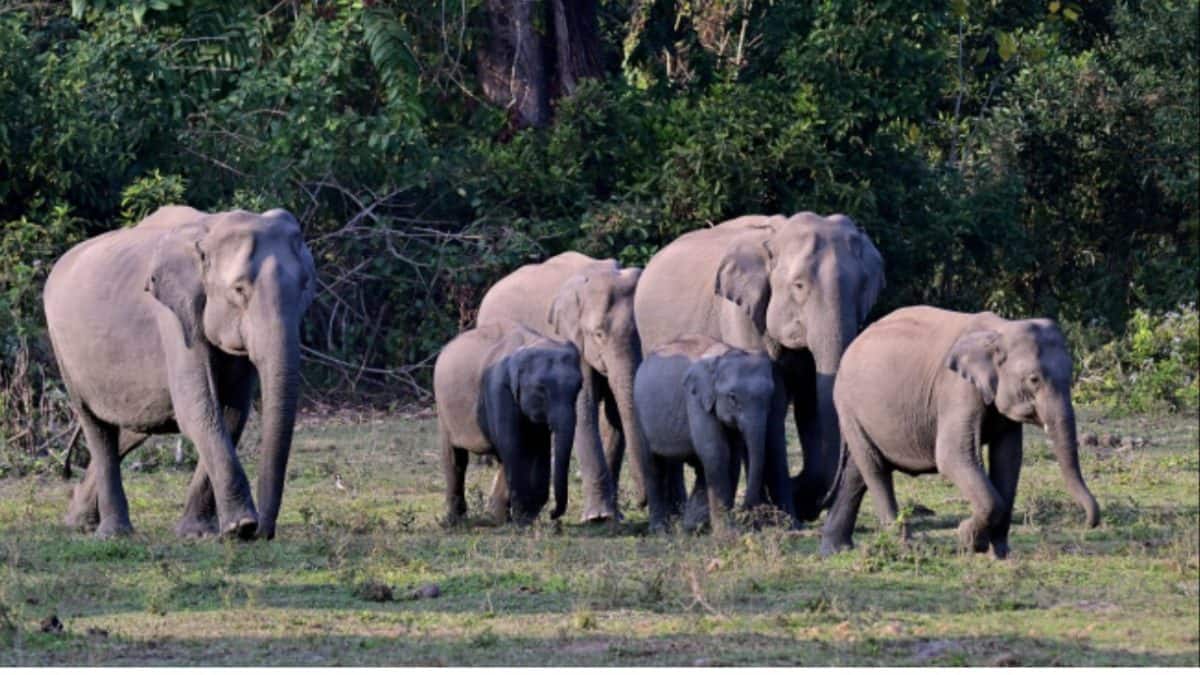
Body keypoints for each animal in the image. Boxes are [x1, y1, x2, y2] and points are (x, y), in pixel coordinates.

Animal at [43, 205, 316, 539]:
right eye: (239, 289)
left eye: (305, 286)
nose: (263, 532)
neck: (210, 230)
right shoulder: (173, 317)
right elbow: (198, 409)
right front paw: (240, 526)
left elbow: (232, 413)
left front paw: (198, 533)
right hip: (63, 350)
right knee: (96, 425)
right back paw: (113, 533)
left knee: (137, 427)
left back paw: (78, 521)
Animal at [434, 319, 582, 524]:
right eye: (541, 389)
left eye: (579, 387)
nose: (553, 514)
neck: (531, 343)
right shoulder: (498, 390)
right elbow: (513, 445)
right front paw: (522, 520)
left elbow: (540, 447)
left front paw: (528, 516)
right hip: (443, 411)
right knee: (456, 457)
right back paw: (454, 521)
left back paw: (497, 516)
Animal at [476, 252, 662, 522]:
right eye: (598, 334)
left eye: (642, 334)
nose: (641, 502)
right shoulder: (569, 339)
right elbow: (584, 410)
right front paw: (599, 517)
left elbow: (613, 415)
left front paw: (614, 517)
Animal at [634, 335, 793, 534]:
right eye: (732, 397)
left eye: (771, 396)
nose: (746, 510)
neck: (724, 355)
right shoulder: (695, 400)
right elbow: (716, 452)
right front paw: (727, 534)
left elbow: (731, 458)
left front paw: (707, 527)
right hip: (639, 414)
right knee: (652, 465)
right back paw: (661, 531)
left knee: (696, 467)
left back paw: (691, 525)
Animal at [820, 306, 1102, 559]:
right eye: (1034, 379)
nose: (1087, 523)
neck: (999, 330)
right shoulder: (957, 389)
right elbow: (953, 456)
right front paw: (968, 539)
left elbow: (1008, 460)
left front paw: (1000, 554)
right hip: (847, 406)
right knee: (875, 468)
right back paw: (906, 547)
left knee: (859, 471)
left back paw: (836, 549)